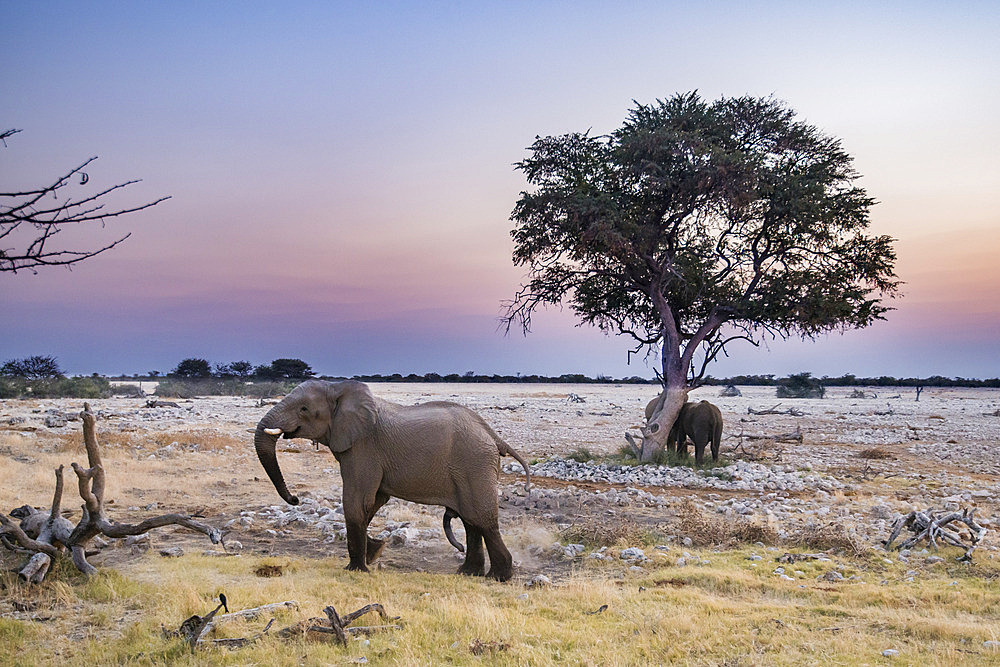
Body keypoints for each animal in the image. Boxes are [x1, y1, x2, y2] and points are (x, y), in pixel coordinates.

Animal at [250, 384, 532, 580]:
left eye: (304, 409)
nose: (295, 499)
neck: (338, 388)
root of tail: (493, 436)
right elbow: (374, 501)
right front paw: (375, 552)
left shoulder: (363, 448)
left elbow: (356, 501)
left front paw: (356, 569)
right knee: (470, 519)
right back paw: (467, 573)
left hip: (474, 463)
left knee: (482, 519)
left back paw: (498, 577)